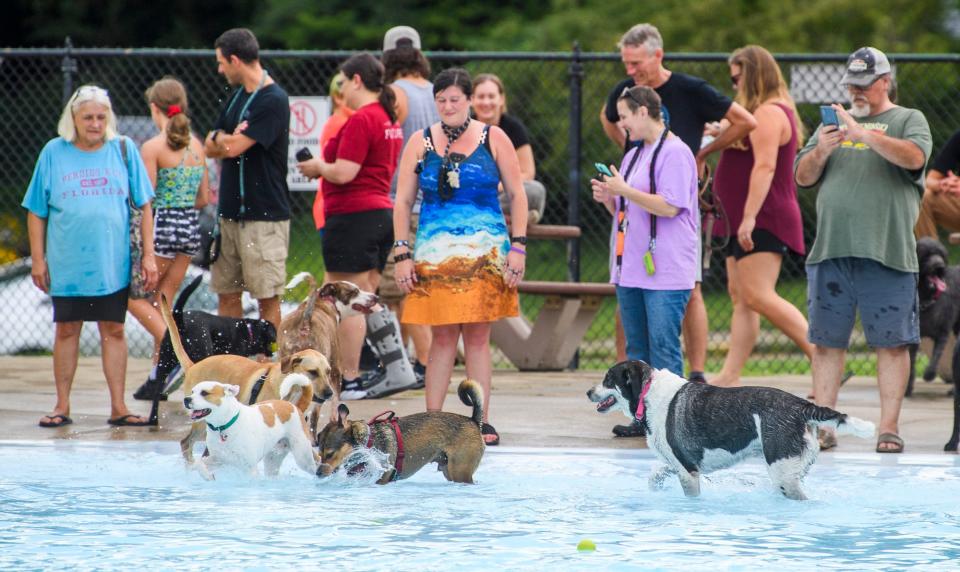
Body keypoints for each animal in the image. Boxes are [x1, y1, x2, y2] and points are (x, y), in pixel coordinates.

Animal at [186, 378, 320, 480]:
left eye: (204, 393)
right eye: (192, 391)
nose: (186, 399)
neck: (224, 426)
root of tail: (294, 406)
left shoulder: (249, 468)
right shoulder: (218, 459)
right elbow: (199, 463)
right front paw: (207, 476)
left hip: (303, 456)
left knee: (316, 462)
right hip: (273, 459)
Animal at [316, 378, 488, 484]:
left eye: (330, 454)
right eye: (319, 453)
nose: (317, 473)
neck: (368, 444)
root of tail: (473, 420)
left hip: (460, 471)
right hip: (449, 470)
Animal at [584, 362, 876, 500]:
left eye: (608, 379)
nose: (588, 392)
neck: (648, 393)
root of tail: (802, 405)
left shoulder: (687, 472)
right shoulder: (681, 462)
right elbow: (654, 476)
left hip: (784, 475)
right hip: (793, 470)